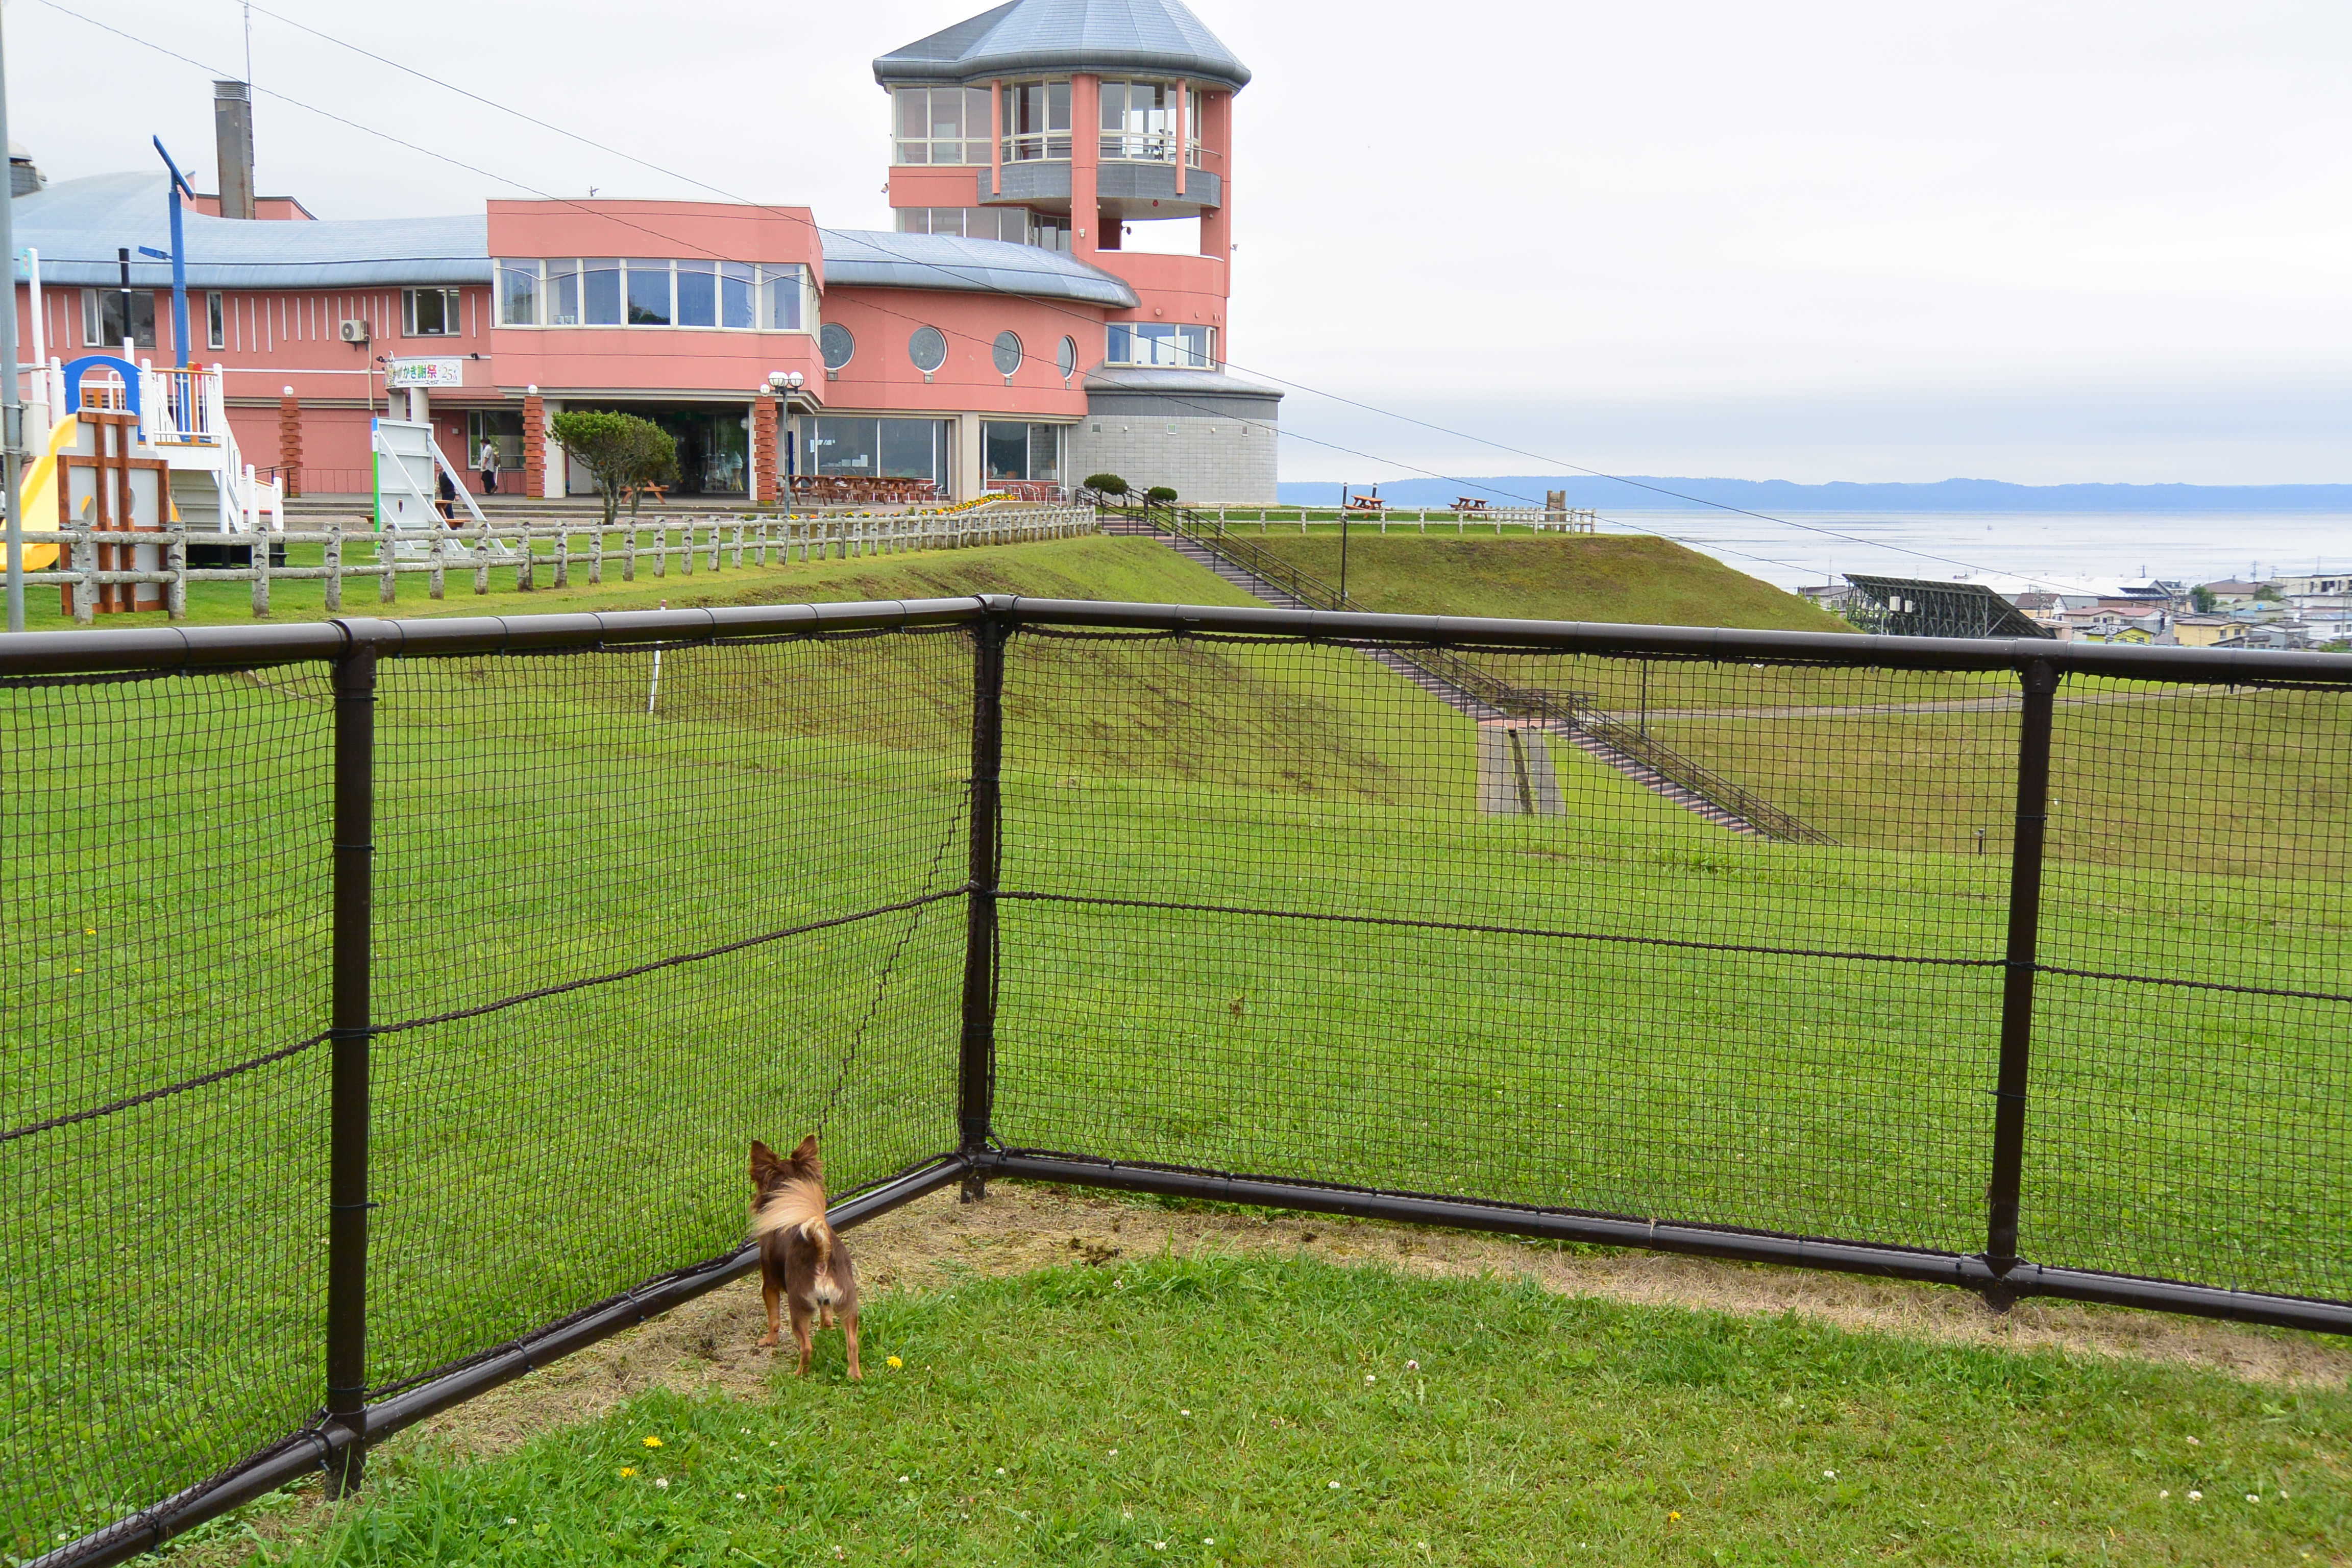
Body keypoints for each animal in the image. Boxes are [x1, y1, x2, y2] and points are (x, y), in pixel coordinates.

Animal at [748, 1133, 861, 1382]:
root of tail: (821, 1252)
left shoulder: (769, 1285)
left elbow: (774, 1319)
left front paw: (769, 1340)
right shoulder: (826, 1301)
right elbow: (826, 1315)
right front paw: (827, 1328)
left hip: (798, 1306)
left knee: (806, 1347)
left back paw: (799, 1374)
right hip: (848, 1302)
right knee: (853, 1343)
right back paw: (855, 1375)